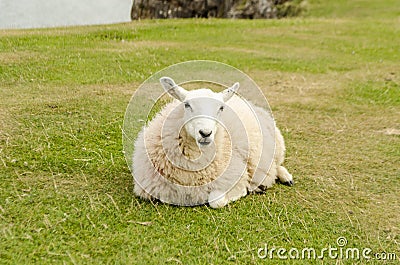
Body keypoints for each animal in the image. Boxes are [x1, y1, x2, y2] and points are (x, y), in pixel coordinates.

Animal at [133, 75, 292, 207]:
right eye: (187, 105)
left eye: (221, 108)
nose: (205, 133)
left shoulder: (235, 175)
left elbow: (216, 201)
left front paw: (244, 191)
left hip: (277, 146)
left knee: (277, 164)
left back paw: (284, 178)